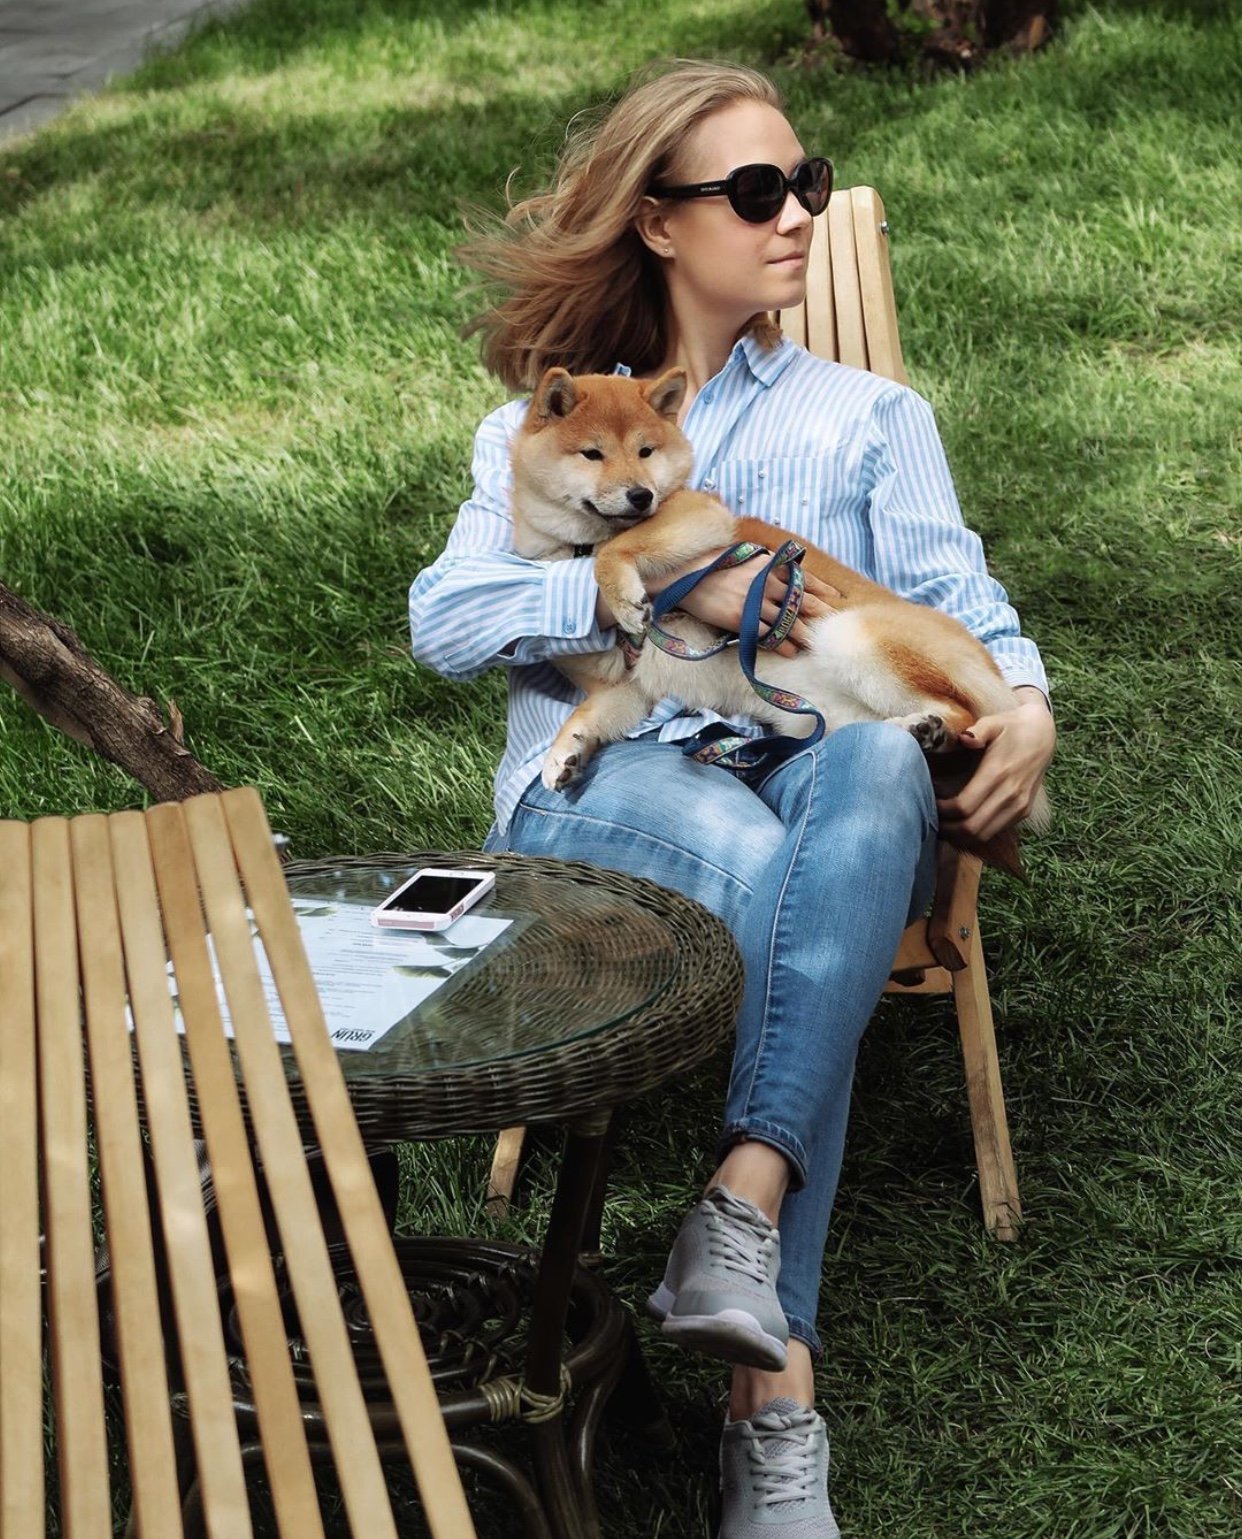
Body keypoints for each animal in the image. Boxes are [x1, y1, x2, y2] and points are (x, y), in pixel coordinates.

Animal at [510, 360, 1046, 867]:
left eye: (646, 452)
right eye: (592, 453)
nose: (641, 495)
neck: (575, 547)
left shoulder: (698, 518)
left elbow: (616, 549)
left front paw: (622, 596)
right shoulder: (628, 686)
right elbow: (587, 713)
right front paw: (566, 753)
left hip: (852, 638)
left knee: (964, 715)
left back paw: (926, 728)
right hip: (818, 722)